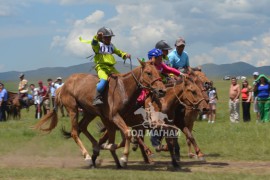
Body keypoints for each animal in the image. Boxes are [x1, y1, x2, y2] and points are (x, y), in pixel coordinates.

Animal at [34, 59, 166, 168]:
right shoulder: (114, 117)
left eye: (158, 72)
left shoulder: (116, 119)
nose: (162, 90)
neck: (123, 89)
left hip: (89, 112)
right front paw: (123, 159)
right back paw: (87, 157)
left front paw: (109, 148)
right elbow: (127, 134)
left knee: (82, 127)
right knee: (75, 132)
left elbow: (122, 138)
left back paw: (96, 148)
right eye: (148, 73)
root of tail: (62, 86)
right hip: (73, 110)